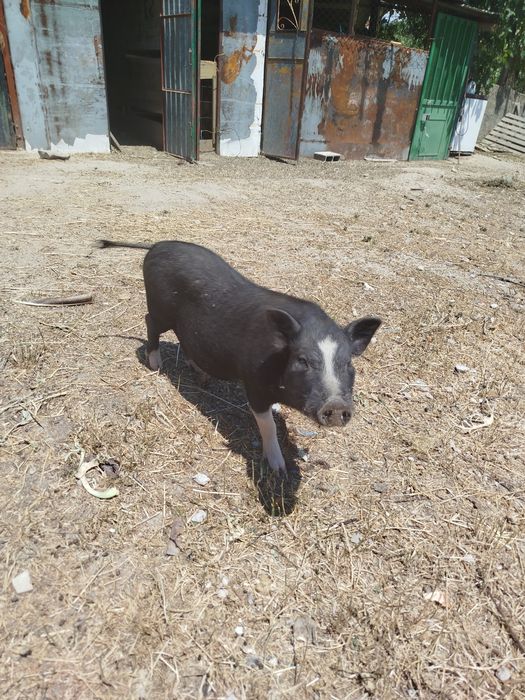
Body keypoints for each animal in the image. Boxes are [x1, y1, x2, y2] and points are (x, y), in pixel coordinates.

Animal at [97, 239, 381, 473]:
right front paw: (279, 469)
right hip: (159, 308)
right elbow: (268, 425)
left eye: (347, 363)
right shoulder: (254, 384)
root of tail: (157, 245)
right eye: (303, 360)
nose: (337, 404)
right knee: (149, 323)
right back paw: (155, 366)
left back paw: (201, 376)